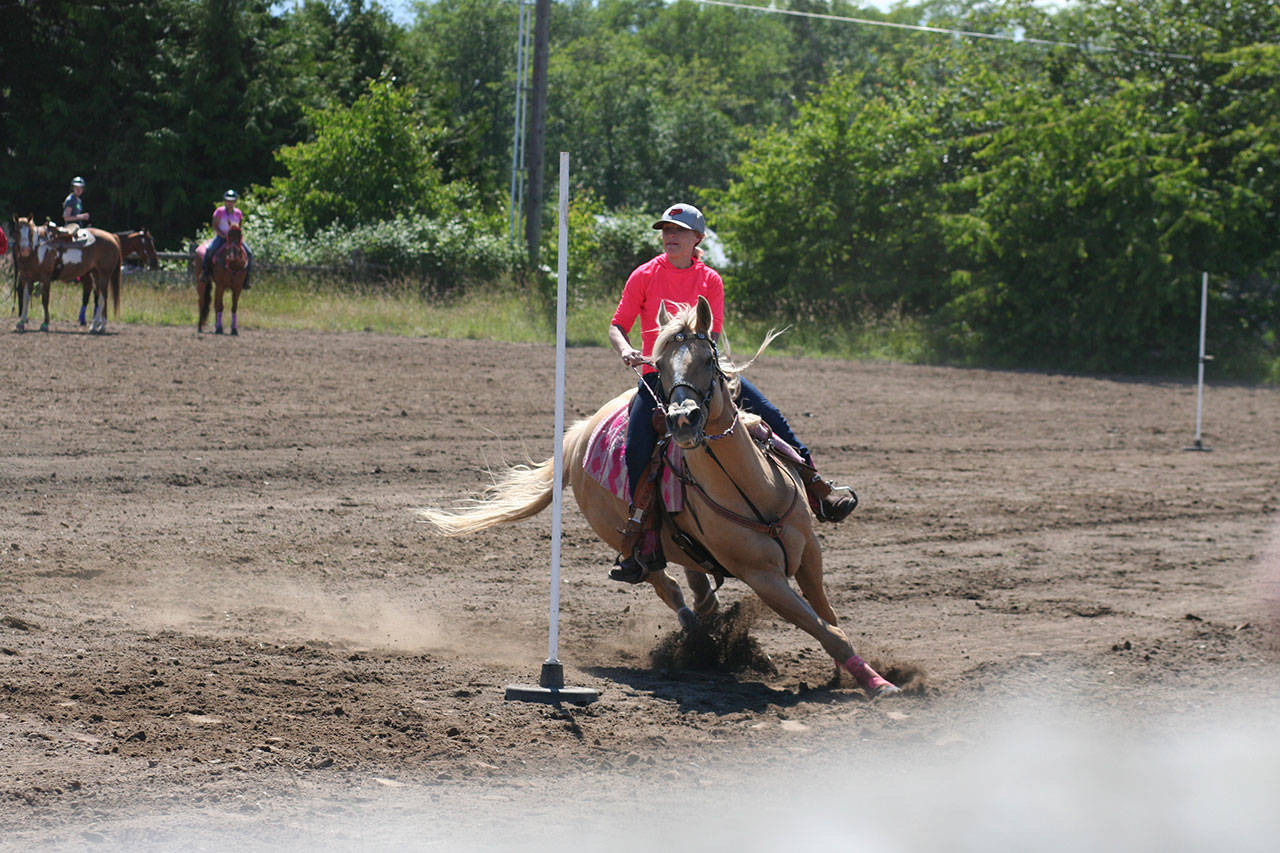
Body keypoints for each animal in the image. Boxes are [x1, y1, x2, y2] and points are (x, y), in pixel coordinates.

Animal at [420, 297, 899, 698]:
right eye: (660, 366)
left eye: (707, 359)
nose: (683, 419)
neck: (752, 490)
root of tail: (578, 435)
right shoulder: (764, 579)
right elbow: (828, 630)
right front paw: (879, 684)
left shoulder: (809, 555)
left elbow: (829, 618)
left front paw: (852, 673)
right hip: (625, 541)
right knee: (666, 586)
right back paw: (701, 640)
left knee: (696, 583)